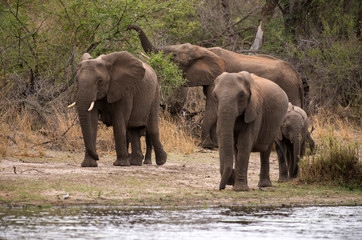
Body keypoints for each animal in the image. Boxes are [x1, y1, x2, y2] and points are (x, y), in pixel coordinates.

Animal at [129, 24, 304, 148]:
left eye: (174, 55)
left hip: (288, 88)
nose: (128, 27)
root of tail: (297, 76)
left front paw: (206, 145)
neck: (203, 50)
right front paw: (214, 144)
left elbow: (212, 109)